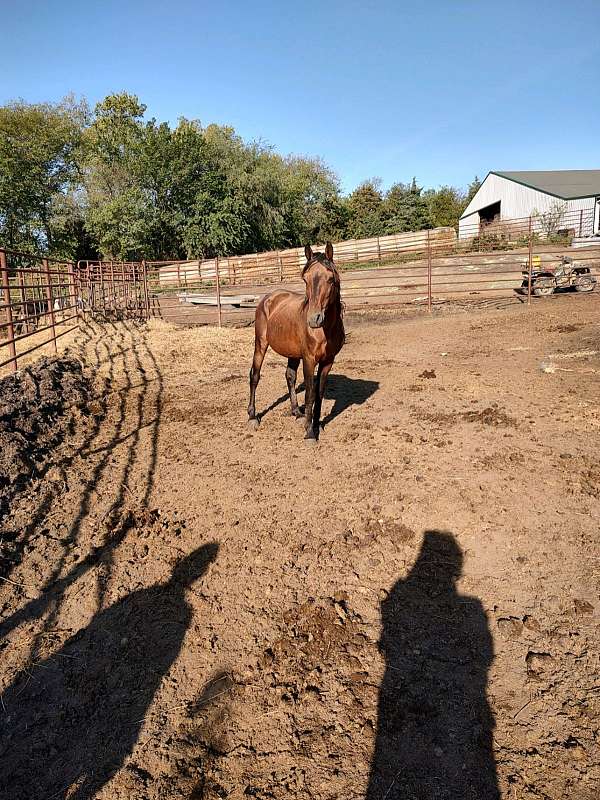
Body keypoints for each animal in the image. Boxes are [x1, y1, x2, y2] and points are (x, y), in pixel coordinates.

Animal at [246, 244, 344, 444]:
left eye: (330, 279)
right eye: (305, 279)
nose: (314, 319)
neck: (326, 329)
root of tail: (269, 298)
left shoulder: (328, 361)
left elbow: (319, 394)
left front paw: (316, 425)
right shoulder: (309, 359)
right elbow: (310, 393)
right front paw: (310, 433)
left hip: (292, 352)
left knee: (289, 376)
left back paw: (297, 413)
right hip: (260, 344)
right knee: (255, 376)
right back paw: (252, 417)